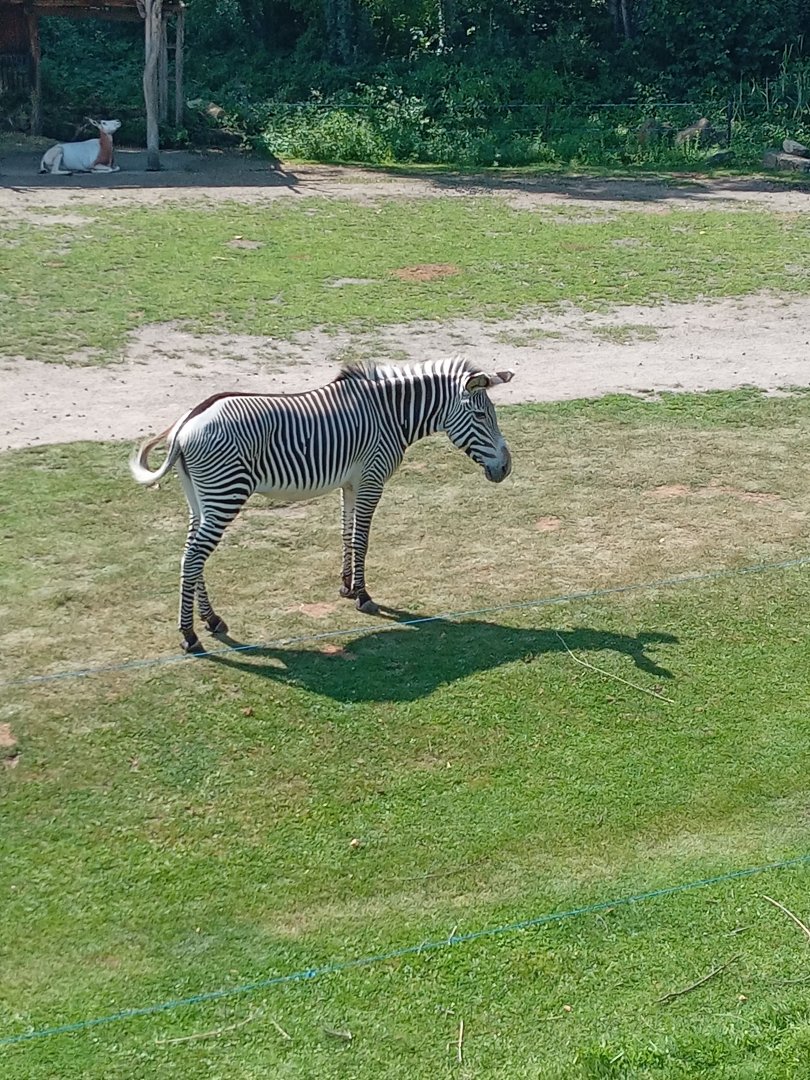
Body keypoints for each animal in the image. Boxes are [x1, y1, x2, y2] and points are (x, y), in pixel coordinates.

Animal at [130, 358, 514, 653]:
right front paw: (363, 595)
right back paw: (190, 635)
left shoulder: (351, 482)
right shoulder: (372, 478)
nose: (506, 468)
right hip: (226, 492)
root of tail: (184, 425)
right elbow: (361, 539)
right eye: (481, 416)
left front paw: (346, 585)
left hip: (201, 498)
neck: (390, 415)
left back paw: (211, 620)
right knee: (193, 558)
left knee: (193, 555)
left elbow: (346, 533)